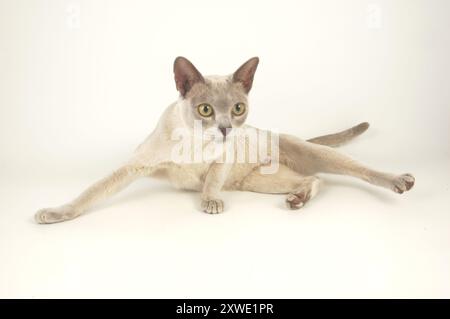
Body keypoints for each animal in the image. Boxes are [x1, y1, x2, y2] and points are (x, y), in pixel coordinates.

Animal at [35, 56, 414, 224]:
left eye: (237, 108)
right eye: (205, 109)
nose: (226, 128)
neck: (193, 141)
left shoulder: (224, 158)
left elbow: (211, 181)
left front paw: (211, 203)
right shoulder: (134, 166)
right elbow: (90, 193)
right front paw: (56, 213)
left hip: (311, 153)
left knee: (355, 171)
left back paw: (401, 181)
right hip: (261, 183)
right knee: (314, 179)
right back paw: (297, 201)